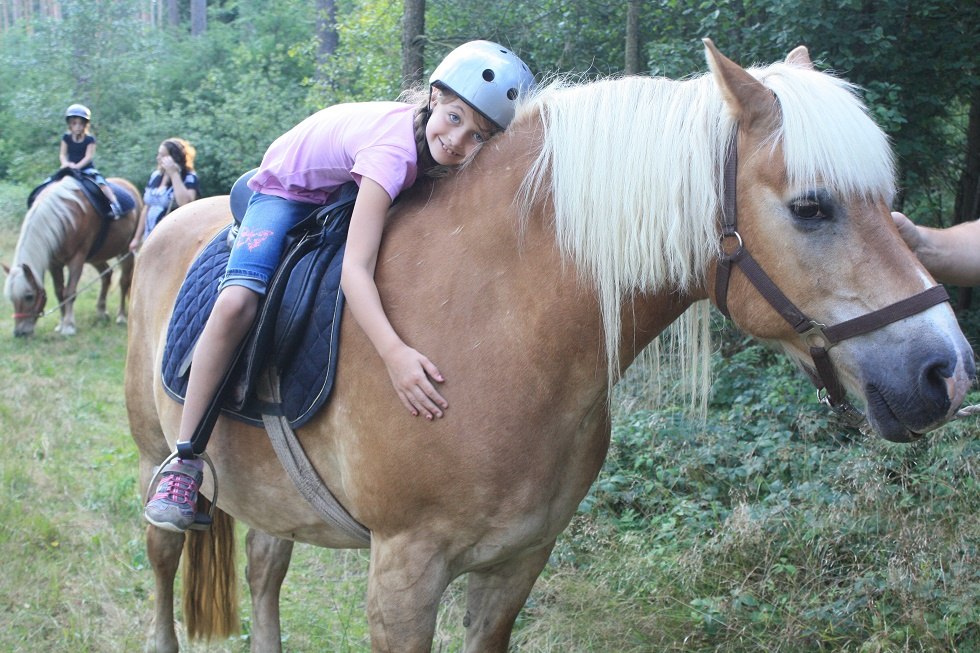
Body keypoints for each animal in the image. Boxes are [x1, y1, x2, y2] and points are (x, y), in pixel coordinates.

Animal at [3, 175, 140, 337]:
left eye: (29, 296)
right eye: (11, 298)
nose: (19, 333)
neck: (63, 217)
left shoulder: (77, 259)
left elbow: (69, 292)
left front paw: (68, 326)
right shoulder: (54, 264)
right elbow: (59, 292)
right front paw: (61, 323)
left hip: (126, 250)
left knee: (124, 282)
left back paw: (121, 316)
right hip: (96, 256)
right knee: (106, 275)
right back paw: (101, 312)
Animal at [125, 41, 975, 652]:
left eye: (890, 204)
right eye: (811, 206)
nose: (947, 371)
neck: (497, 327)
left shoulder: (515, 568)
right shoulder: (402, 576)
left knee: (264, 571)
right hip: (156, 459)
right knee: (164, 562)